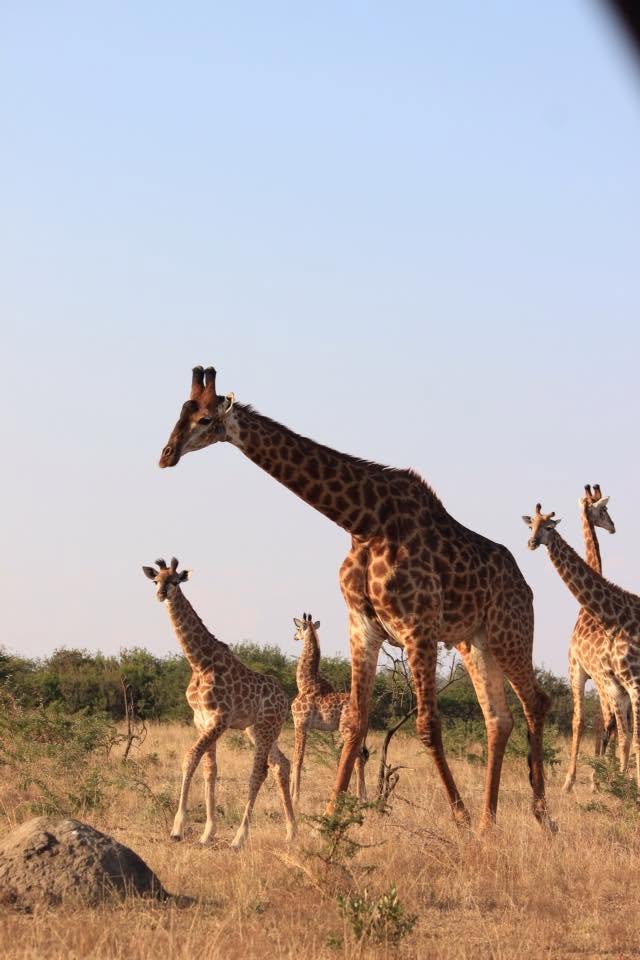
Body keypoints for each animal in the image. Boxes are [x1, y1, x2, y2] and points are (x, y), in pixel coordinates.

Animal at [142, 557, 296, 849]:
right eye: (156, 580)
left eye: (175, 581)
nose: (160, 595)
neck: (200, 664)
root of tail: (286, 699)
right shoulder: (201, 720)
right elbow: (209, 770)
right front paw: (207, 833)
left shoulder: (220, 719)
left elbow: (190, 758)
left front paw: (177, 828)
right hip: (257, 730)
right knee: (281, 764)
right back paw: (292, 832)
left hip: (266, 728)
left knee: (258, 773)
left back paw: (239, 838)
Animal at [290, 612, 368, 805]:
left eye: (297, 628)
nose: (294, 636)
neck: (305, 683)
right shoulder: (301, 726)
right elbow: (296, 757)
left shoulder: (300, 724)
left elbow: (298, 759)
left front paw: (295, 797)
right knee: (362, 758)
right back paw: (364, 797)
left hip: (346, 730)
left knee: (357, 759)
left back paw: (359, 797)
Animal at [524, 504, 640, 799]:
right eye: (531, 526)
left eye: (549, 527)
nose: (531, 543)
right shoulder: (615, 684)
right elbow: (622, 735)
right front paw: (615, 782)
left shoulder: (627, 682)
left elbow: (629, 737)